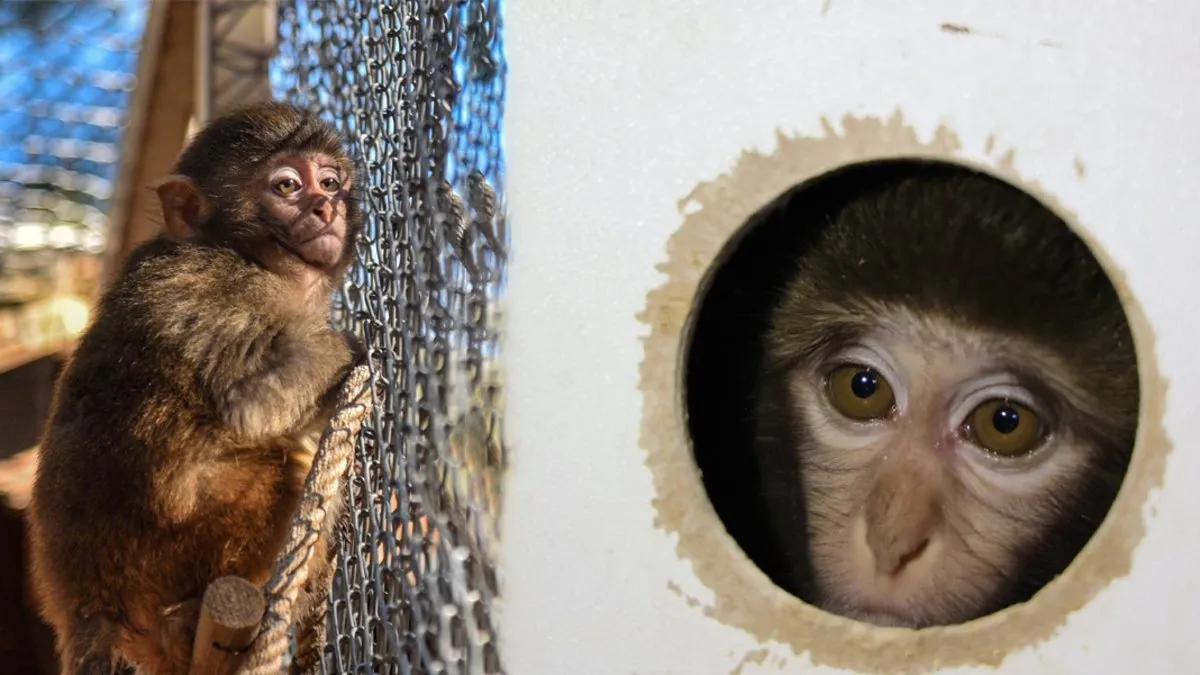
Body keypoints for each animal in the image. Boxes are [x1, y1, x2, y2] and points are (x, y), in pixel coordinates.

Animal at [28, 100, 362, 672]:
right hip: (160, 549)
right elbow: (256, 400)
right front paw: (358, 351)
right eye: (288, 186)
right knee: (281, 465)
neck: (244, 253)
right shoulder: (220, 286)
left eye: (330, 182)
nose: (325, 208)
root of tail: (87, 607)